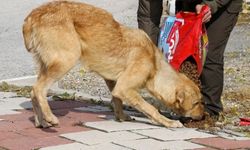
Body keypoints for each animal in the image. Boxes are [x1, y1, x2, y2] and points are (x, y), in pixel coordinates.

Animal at [22, 0, 204, 128]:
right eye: (196, 103)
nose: (204, 116)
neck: (154, 63)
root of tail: (33, 15)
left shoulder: (114, 82)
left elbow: (117, 100)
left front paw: (121, 117)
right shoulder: (124, 87)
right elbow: (150, 108)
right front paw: (168, 122)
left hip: (47, 66)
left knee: (33, 92)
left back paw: (41, 122)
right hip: (66, 60)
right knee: (38, 89)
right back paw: (50, 118)